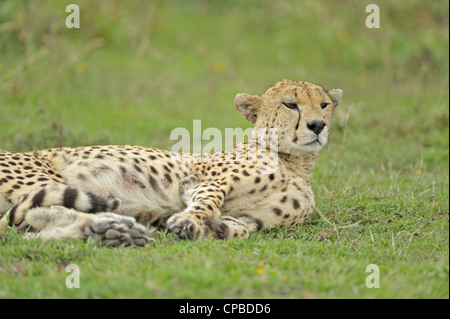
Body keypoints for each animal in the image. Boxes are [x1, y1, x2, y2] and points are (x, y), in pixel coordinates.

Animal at [0, 80, 342, 248]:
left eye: (324, 104)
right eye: (290, 104)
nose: (317, 125)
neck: (295, 162)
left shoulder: (251, 219)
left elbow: (239, 229)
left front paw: (212, 230)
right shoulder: (206, 181)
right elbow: (206, 202)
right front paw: (190, 222)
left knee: (26, 230)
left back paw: (111, 233)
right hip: (43, 179)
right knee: (37, 212)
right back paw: (112, 228)